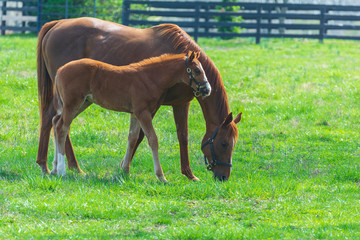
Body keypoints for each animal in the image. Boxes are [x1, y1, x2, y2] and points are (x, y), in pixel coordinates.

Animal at [52, 51, 212, 182]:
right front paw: (161, 176)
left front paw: (125, 171)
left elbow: (132, 138)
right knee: (62, 127)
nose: (207, 89)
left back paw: (53, 168)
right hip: (72, 104)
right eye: (197, 70)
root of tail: (60, 70)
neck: (150, 78)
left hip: (83, 103)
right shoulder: (143, 112)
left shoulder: (135, 114)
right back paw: (61, 171)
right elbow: (153, 139)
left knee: (55, 122)